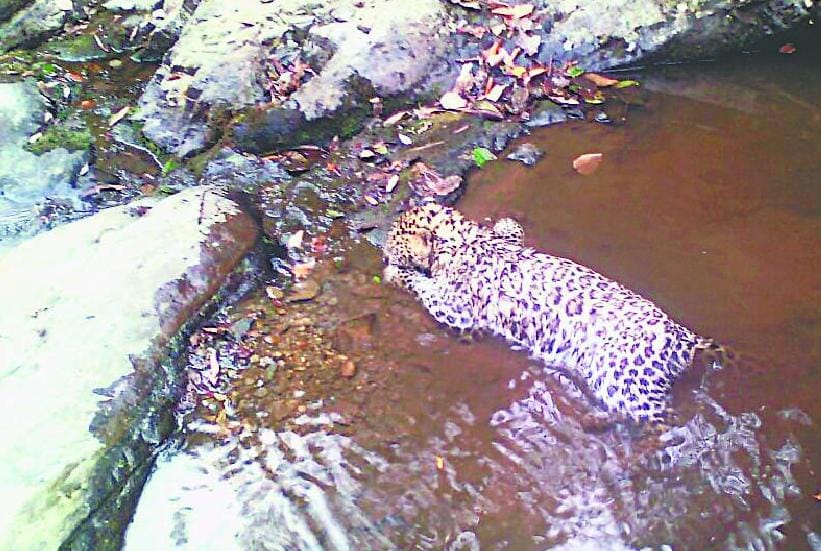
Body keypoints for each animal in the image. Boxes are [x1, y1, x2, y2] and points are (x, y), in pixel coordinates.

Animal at [383, 202, 725, 423]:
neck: (463, 241)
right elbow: (510, 227)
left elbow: (423, 287)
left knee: (664, 421)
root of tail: (683, 338)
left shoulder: (459, 313)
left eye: (390, 247)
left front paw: (394, 274)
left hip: (621, 382)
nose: (383, 257)